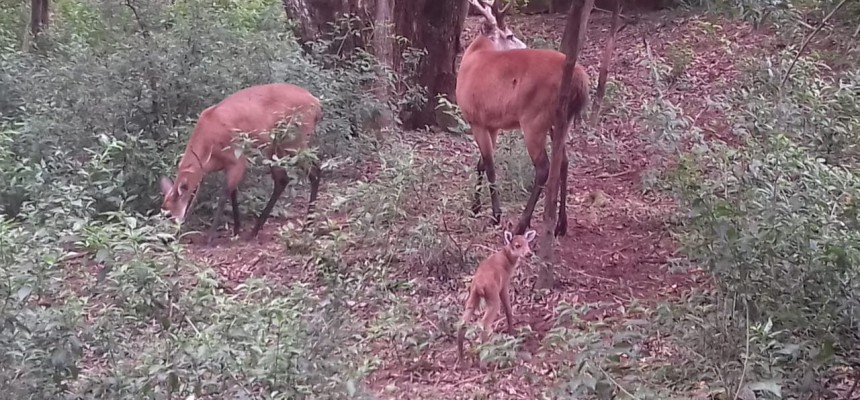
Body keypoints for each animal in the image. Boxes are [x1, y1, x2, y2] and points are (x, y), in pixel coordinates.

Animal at [158, 83, 323, 245]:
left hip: (293, 141)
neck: (207, 151)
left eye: (169, 214)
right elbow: (233, 193)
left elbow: (224, 194)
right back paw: (256, 229)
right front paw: (236, 229)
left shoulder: (237, 158)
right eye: (162, 210)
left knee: (314, 171)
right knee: (282, 179)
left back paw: (306, 226)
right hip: (275, 146)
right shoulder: (226, 164)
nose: (167, 239)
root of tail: (316, 103)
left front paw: (210, 237)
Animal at [456, 0, 590, 237]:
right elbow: (481, 163)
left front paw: (495, 214)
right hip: (560, 120)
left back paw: (522, 223)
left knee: (543, 168)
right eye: (509, 35)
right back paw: (561, 224)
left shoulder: (476, 120)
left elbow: (489, 164)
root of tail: (579, 80)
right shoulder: (491, 124)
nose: (524, 44)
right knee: (563, 162)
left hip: (534, 118)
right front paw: (475, 207)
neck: (474, 57)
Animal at [457, 226, 536, 365]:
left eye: (528, 243)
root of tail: (479, 286)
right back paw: (484, 360)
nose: (529, 253)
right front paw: (512, 333)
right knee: (484, 323)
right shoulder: (504, 285)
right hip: (493, 298)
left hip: (472, 297)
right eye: (517, 245)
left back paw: (462, 360)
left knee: (463, 323)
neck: (507, 261)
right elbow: (508, 309)